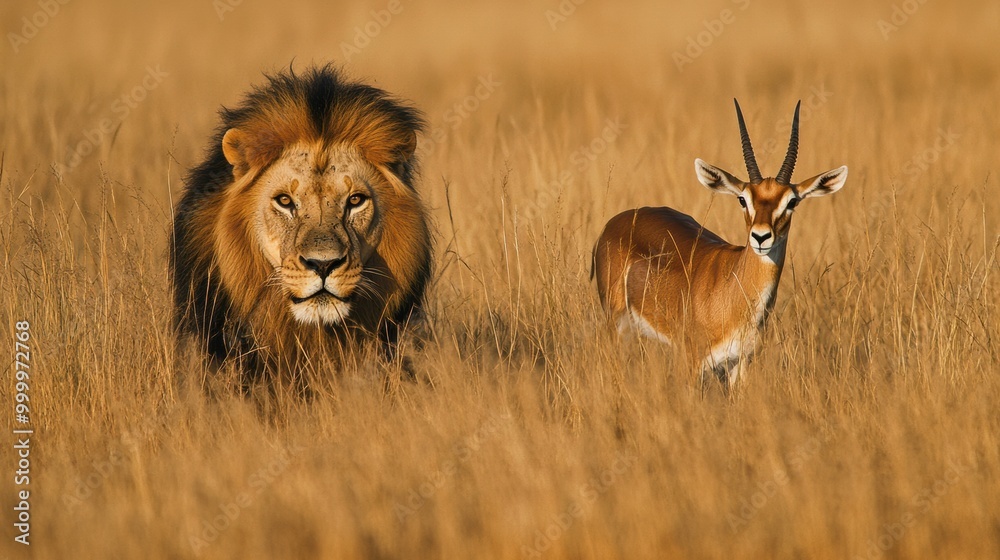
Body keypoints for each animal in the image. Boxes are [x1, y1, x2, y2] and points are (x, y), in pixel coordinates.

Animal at [592, 100, 847, 386]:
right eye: (742, 199)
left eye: (792, 201)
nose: (761, 237)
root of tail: (618, 220)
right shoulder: (692, 363)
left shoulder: (740, 364)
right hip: (617, 327)